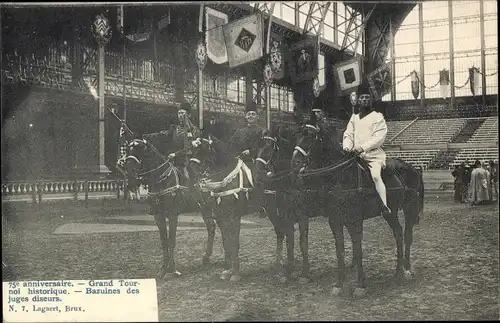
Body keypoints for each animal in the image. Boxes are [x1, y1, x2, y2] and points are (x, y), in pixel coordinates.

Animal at [117, 132, 219, 280]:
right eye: (128, 150)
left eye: (140, 149)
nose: (129, 174)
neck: (161, 181)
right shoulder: (158, 216)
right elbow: (164, 241)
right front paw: (163, 269)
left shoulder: (172, 215)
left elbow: (172, 240)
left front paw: (173, 269)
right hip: (204, 208)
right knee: (211, 227)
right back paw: (206, 258)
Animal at [292, 114, 424, 298]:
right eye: (297, 135)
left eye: (311, 136)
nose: (295, 163)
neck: (341, 176)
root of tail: (412, 168)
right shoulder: (335, 220)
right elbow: (340, 250)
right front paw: (339, 284)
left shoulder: (355, 220)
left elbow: (358, 248)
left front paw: (360, 285)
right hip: (390, 213)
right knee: (398, 233)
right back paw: (397, 272)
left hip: (409, 209)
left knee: (407, 235)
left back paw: (406, 270)